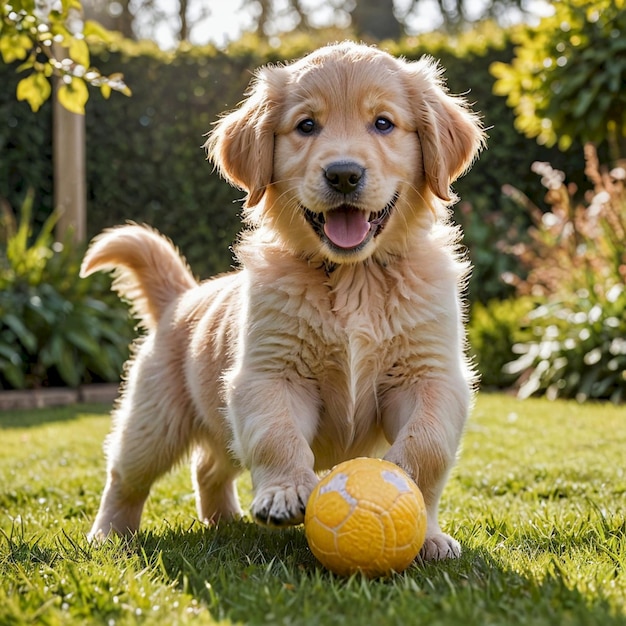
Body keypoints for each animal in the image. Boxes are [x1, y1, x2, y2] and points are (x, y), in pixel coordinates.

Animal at [81, 41, 482, 560]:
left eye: (383, 123)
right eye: (306, 126)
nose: (344, 174)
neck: (353, 276)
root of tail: (181, 297)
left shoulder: (430, 375)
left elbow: (426, 447)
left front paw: (422, 524)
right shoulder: (270, 373)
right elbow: (277, 436)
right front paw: (286, 491)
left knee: (209, 466)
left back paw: (223, 520)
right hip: (154, 419)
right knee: (125, 475)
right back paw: (110, 533)